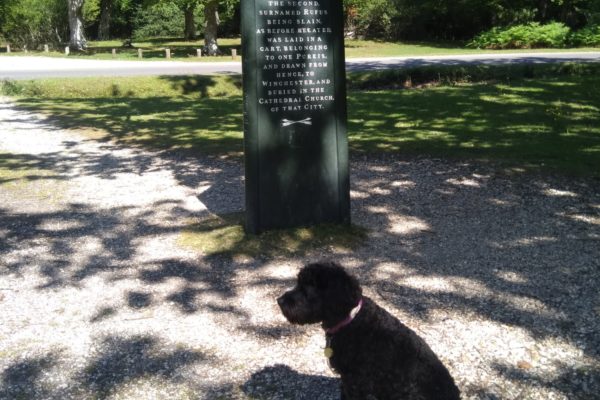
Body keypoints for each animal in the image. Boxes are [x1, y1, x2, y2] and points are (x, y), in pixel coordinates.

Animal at [276, 260, 460, 400]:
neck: (351, 320)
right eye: (298, 283)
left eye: (307, 288)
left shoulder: (356, 382)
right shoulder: (347, 380)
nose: (279, 300)